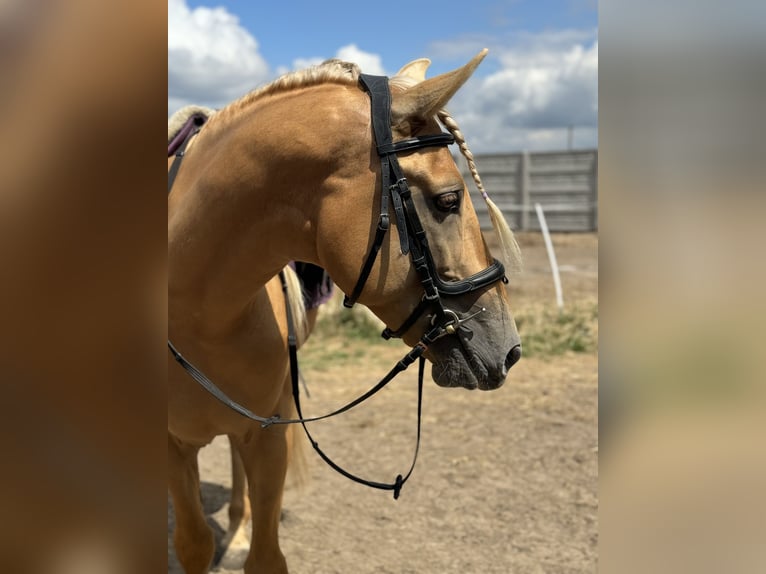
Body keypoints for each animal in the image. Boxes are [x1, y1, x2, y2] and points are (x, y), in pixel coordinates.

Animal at [169, 51, 524, 572]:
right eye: (449, 200)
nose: (510, 349)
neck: (202, 319)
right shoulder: (171, 448)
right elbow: (192, 544)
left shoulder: (269, 435)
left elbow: (266, 556)